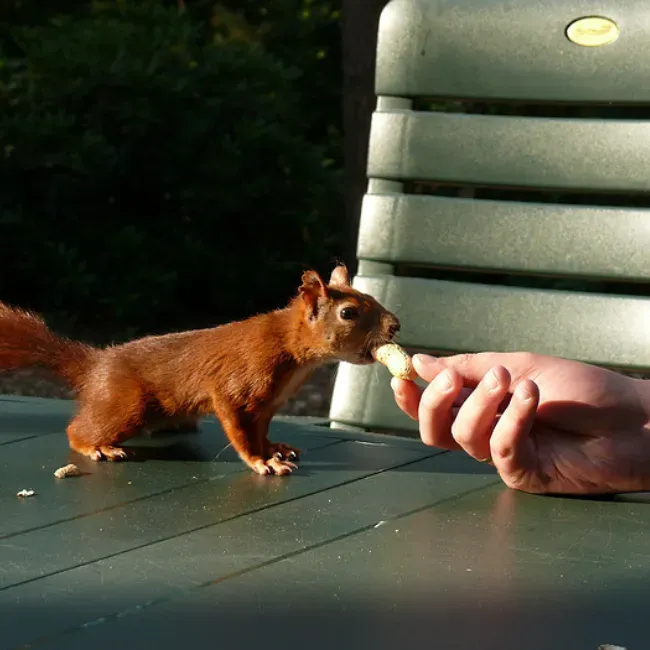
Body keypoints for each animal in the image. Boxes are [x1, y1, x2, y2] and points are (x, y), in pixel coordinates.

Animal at [0, 262, 400, 470]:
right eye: (348, 313)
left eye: (371, 295)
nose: (395, 325)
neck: (291, 348)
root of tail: (95, 364)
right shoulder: (237, 386)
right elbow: (239, 430)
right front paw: (261, 462)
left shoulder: (267, 404)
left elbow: (260, 430)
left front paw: (273, 449)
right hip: (125, 404)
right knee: (78, 430)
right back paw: (97, 447)